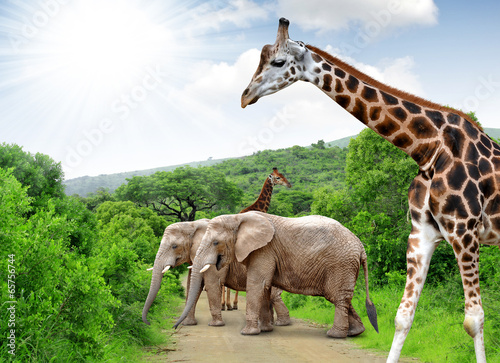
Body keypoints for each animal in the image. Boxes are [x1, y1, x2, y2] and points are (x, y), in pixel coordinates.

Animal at [141, 219, 292, 328]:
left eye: (174, 246)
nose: (149, 323)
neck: (192, 225)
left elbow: (211, 284)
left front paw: (215, 325)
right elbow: (192, 286)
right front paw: (188, 324)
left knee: (273, 296)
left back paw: (281, 324)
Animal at [174, 210, 376, 338]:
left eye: (216, 242)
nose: (174, 327)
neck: (238, 218)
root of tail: (361, 246)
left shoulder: (264, 250)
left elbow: (257, 284)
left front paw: (248, 333)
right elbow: (264, 286)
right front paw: (265, 330)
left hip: (340, 264)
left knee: (337, 297)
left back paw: (335, 335)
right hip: (344, 266)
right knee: (342, 298)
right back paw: (355, 332)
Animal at [221, 168, 292, 312]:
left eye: (282, 174)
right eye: (277, 177)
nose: (289, 184)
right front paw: (236, 304)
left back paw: (225, 304)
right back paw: (227, 305)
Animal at [240, 17, 498, 363]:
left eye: (278, 62)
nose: (244, 97)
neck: (428, 148)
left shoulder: (465, 232)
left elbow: (474, 319)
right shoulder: (422, 234)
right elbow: (403, 317)